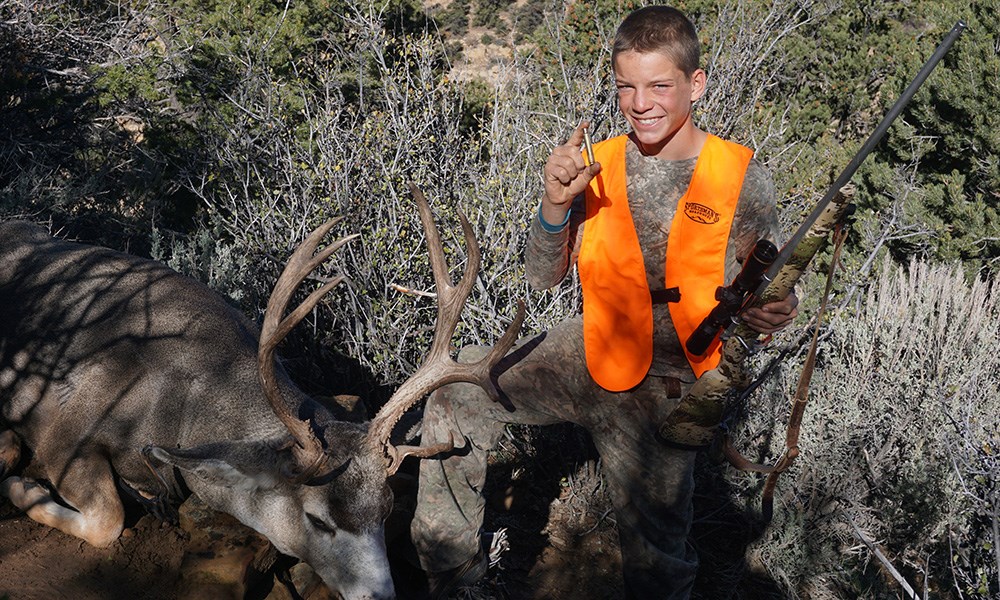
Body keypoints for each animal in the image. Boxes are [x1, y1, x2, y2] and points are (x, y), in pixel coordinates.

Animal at [0, 185, 528, 596]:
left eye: (386, 510)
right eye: (318, 520)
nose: (378, 596)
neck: (177, 402)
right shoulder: (64, 427)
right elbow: (107, 521)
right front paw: (23, 487)